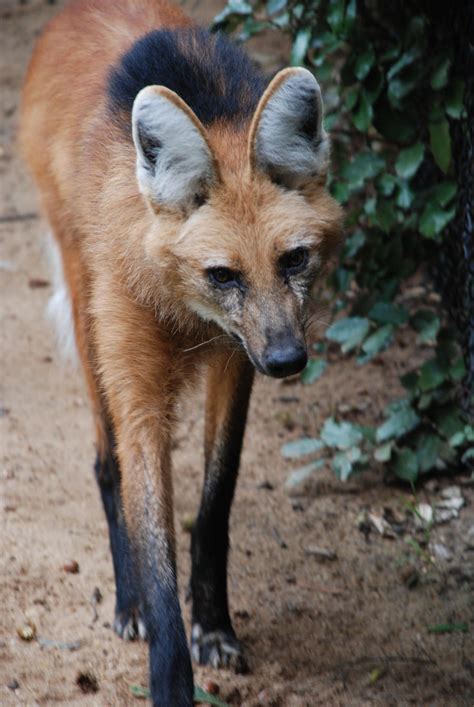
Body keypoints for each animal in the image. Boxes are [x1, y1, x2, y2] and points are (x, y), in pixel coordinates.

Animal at [20, 0, 342, 704]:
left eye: (294, 260)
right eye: (223, 274)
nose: (287, 361)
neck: (189, 312)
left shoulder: (236, 357)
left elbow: (214, 507)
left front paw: (214, 627)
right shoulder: (138, 380)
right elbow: (152, 530)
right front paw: (168, 667)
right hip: (87, 309)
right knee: (105, 459)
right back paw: (128, 602)